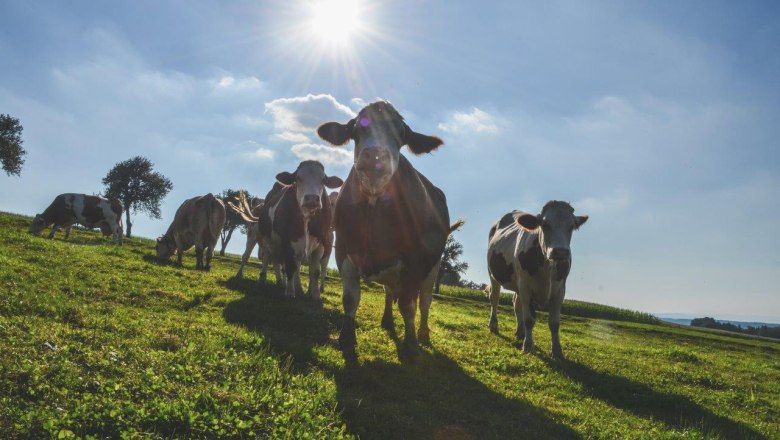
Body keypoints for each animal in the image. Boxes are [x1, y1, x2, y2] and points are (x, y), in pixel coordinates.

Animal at [229, 160, 344, 300]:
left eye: (323, 180)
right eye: (298, 178)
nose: (312, 198)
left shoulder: (320, 245)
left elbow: (315, 272)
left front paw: (315, 295)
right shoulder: (288, 241)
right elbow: (290, 267)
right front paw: (290, 292)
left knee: (276, 262)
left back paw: (281, 282)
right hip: (258, 237)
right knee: (255, 257)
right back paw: (252, 278)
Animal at [316, 100, 464, 358]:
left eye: (401, 134)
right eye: (355, 130)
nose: (375, 156)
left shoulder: (416, 260)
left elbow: (408, 305)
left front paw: (411, 345)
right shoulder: (343, 249)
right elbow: (350, 298)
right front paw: (346, 337)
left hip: (434, 266)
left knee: (424, 301)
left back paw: (423, 334)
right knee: (389, 292)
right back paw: (387, 320)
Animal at [484, 201, 588, 360]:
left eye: (572, 226)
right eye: (544, 224)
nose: (560, 251)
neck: (546, 264)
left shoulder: (560, 290)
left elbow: (554, 323)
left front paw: (557, 351)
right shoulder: (526, 286)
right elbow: (529, 319)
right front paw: (528, 345)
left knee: (516, 302)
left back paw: (520, 332)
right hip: (493, 274)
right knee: (494, 298)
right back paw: (494, 326)